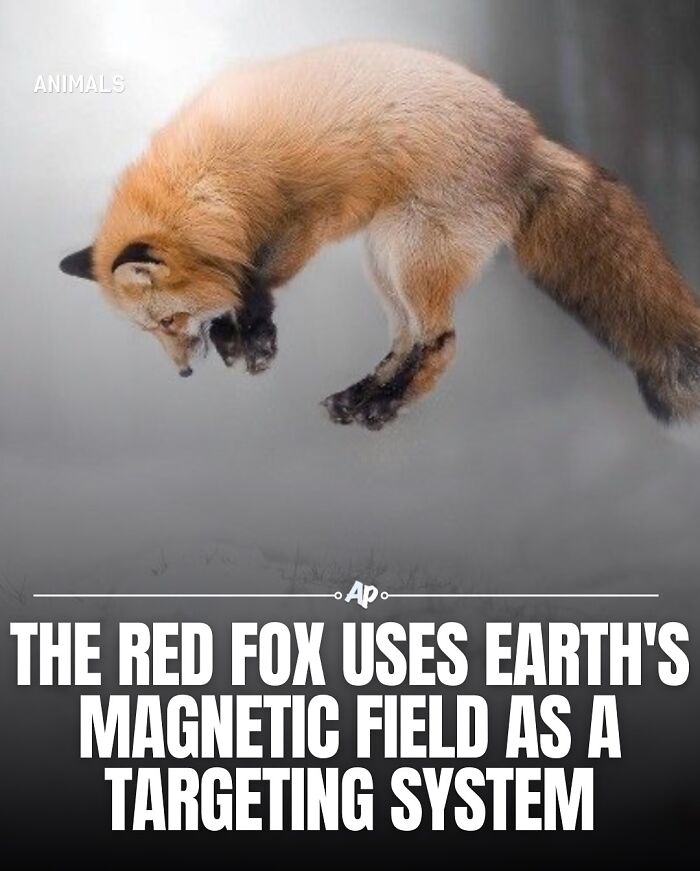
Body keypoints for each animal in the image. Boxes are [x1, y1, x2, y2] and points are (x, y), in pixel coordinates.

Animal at [59, 41, 700, 430]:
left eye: (168, 321)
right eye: (150, 332)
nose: (183, 376)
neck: (219, 182)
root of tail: (529, 140)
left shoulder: (305, 221)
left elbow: (254, 282)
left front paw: (254, 338)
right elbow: (235, 289)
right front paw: (233, 338)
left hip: (410, 253)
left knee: (441, 342)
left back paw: (387, 406)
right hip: (384, 259)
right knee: (406, 339)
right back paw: (363, 396)